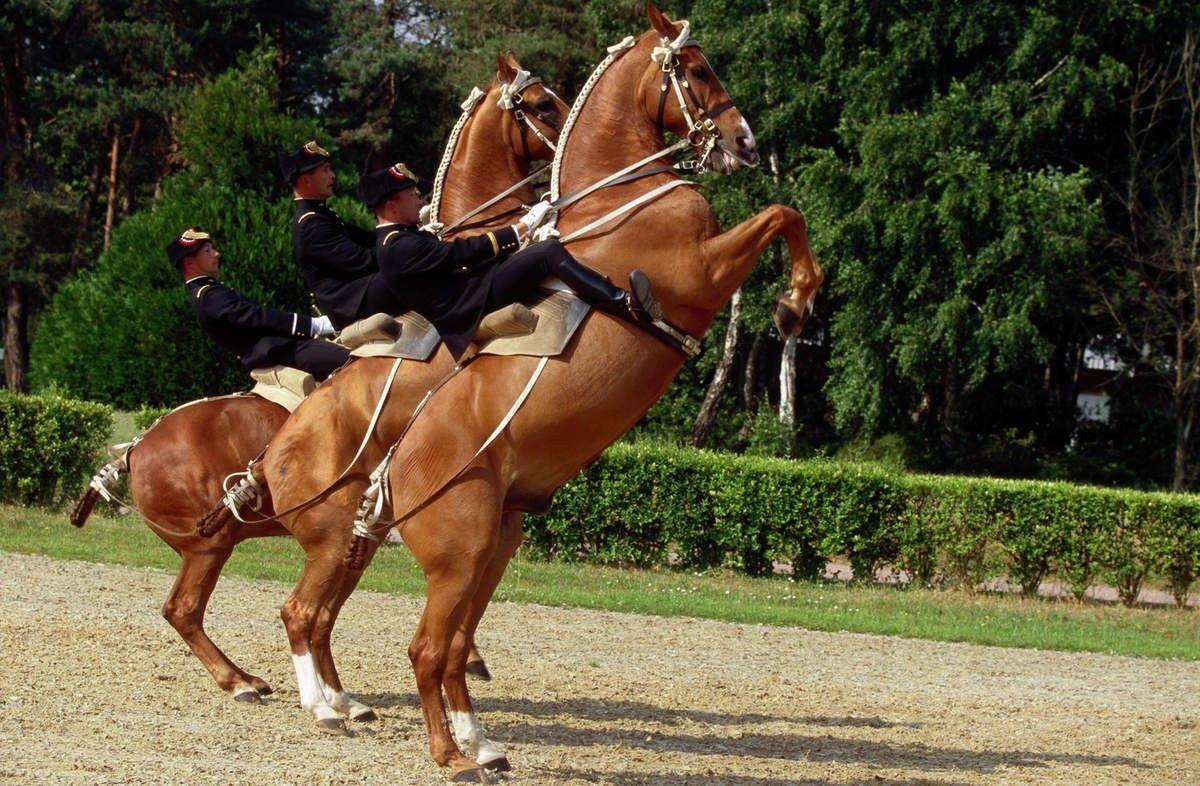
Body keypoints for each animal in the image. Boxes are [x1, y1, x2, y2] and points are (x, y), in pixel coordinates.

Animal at [67, 53, 567, 712]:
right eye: (541, 105)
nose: (562, 162)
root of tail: (136, 446)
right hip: (210, 546)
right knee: (186, 609)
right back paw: (243, 682)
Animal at [265, 5, 822, 780]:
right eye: (697, 68)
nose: (743, 141)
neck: (619, 203)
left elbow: (783, 212)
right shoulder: (703, 271)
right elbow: (782, 212)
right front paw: (795, 304)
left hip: (474, 542)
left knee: (416, 641)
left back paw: (458, 735)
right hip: (431, 548)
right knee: (392, 638)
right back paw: (420, 741)